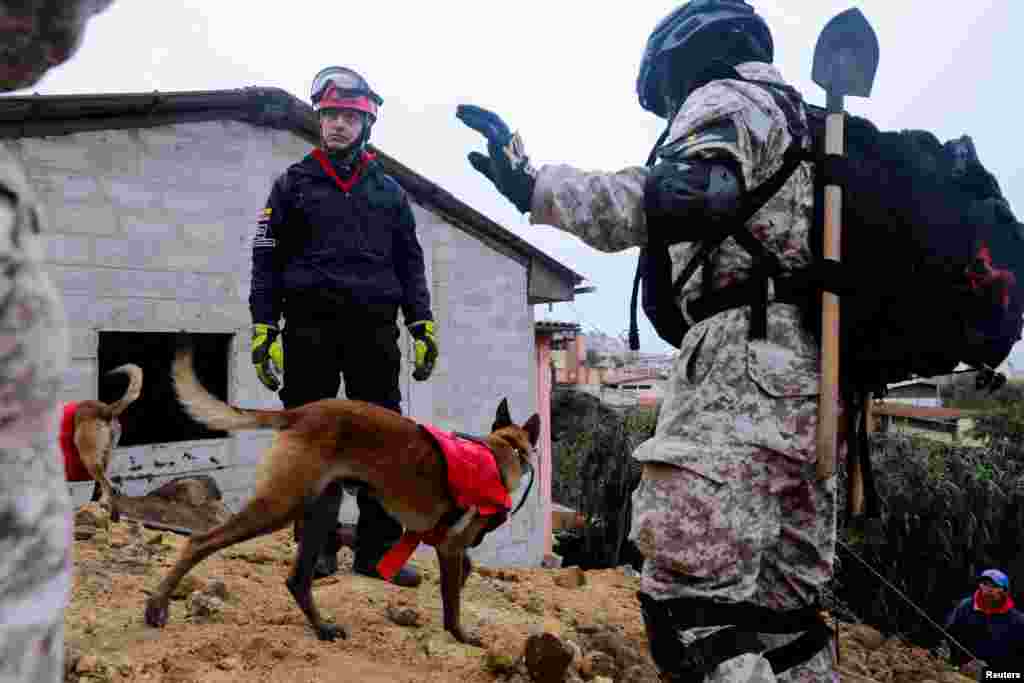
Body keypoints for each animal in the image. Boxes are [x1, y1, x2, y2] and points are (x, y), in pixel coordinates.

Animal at [146, 350, 544, 643]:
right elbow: (453, 602)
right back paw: (157, 606)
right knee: (199, 541)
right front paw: (461, 634)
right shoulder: (451, 545)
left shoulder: (448, 543)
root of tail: (301, 412)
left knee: (297, 580)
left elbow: (463, 575)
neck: (501, 449)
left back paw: (322, 628)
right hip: (279, 506)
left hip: (320, 509)